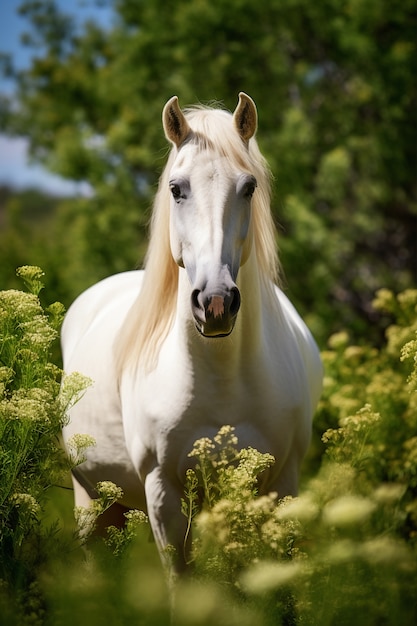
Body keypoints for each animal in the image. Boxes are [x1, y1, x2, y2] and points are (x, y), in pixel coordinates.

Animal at [61, 91, 322, 572]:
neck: (222, 379)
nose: (215, 303)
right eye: (176, 189)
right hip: (91, 502)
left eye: (249, 187)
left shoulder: (281, 486)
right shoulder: (163, 493)